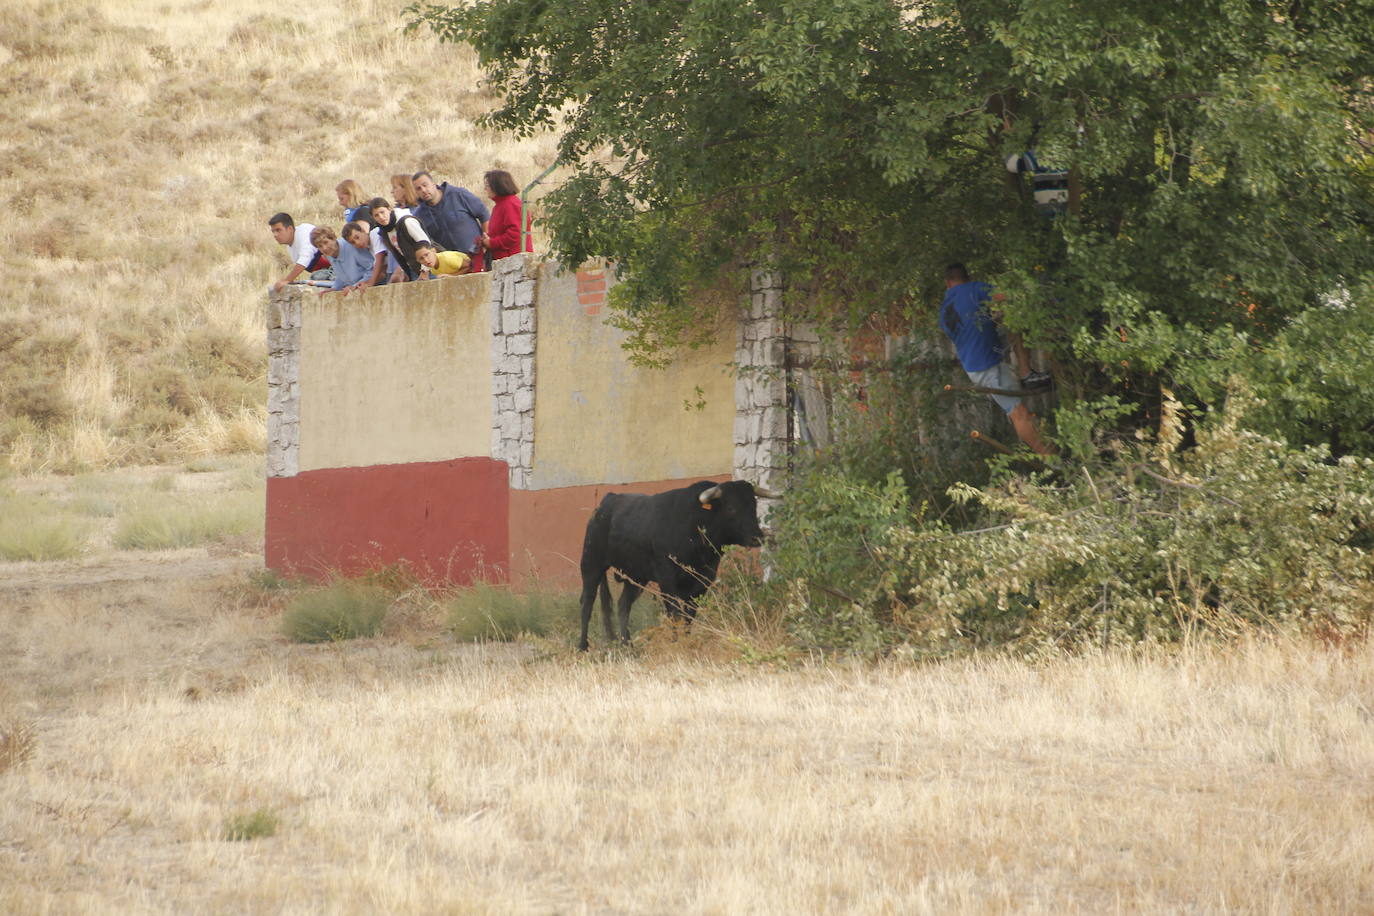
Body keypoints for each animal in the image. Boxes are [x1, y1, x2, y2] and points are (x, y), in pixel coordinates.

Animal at [577, 480, 769, 650]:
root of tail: (605, 503)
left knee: (623, 605)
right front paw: (675, 643)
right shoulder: (667, 580)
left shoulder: (702, 581)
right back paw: (583, 646)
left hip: (636, 577)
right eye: (731, 508)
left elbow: (689, 616)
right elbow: (675, 614)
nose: (757, 537)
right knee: (587, 603)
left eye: (753, 506)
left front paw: (687, 643)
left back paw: (628, 646)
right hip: (591, 564)